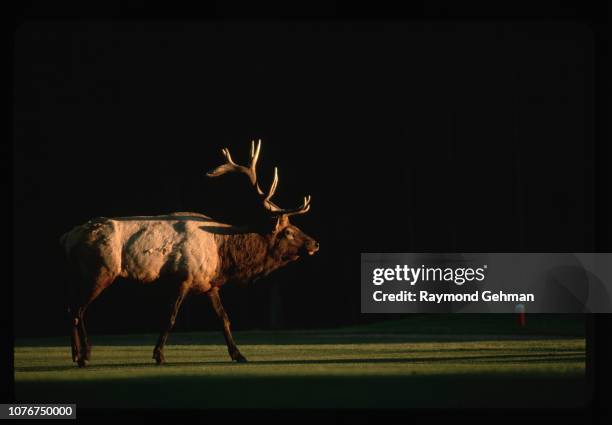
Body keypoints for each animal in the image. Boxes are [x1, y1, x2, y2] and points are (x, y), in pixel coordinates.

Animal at [60, 141, 320, 366]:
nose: (315, 244)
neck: (224, 258)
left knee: (70, 308)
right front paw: (159, 355)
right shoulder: (184, 278)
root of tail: (68, 238)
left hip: (83, 274)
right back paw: (84, 356)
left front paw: (239, 354)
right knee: (78, 309)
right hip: (100, 270)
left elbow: (224, 318)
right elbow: (171, 317)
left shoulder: (209, 283)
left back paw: (77, 354)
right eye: (288, 232)